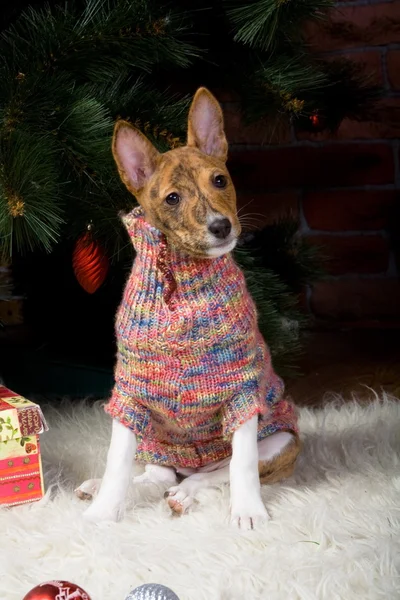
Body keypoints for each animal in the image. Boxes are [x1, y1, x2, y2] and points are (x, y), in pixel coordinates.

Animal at [76, 86, 300, 528]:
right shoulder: (132, 391)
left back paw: (185, 493)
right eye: (172, 199)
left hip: (281, 438)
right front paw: (102, 513)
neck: (180, 279)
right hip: (155, 437)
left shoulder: (240, 388)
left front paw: (248, 512)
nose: (220, 226)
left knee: (214, 473)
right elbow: (117, 462)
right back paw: (106, 487)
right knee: (154, 475)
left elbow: (242, 464)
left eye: (220, 180)